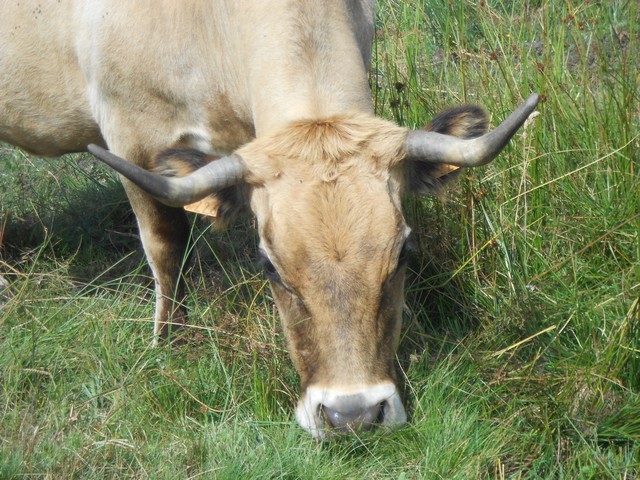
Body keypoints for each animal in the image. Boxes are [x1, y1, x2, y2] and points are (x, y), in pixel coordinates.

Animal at [1, 0, 540, 440]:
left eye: (404, 251)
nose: (352, 416)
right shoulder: (133, 137)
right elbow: (166, 247)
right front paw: (169, 343)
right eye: (269, 267)